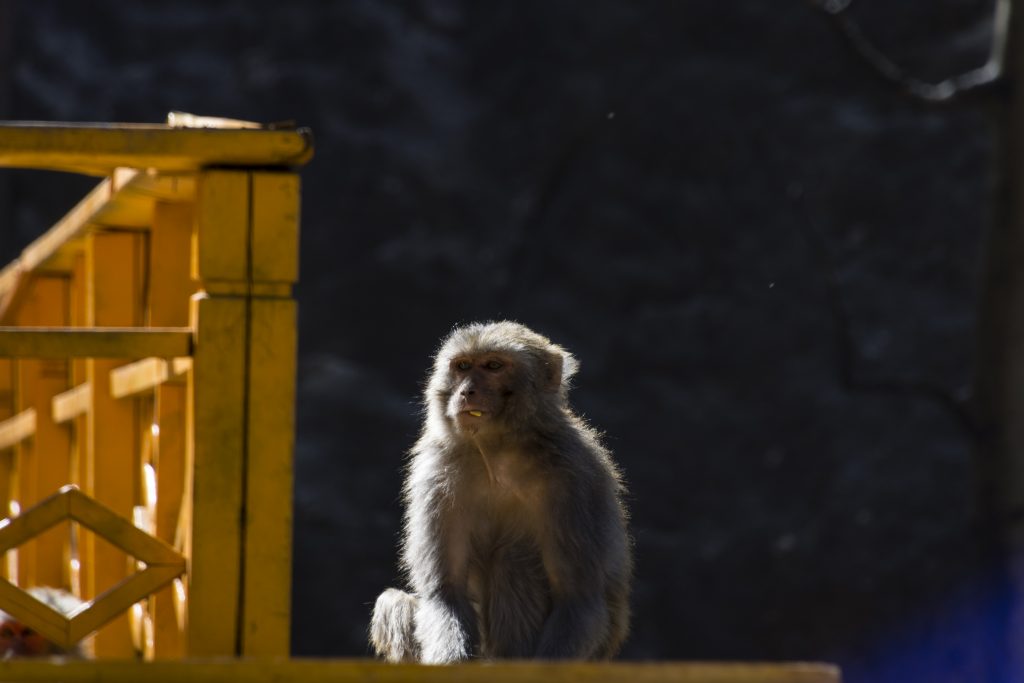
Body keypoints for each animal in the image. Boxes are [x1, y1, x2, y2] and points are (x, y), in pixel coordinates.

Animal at [368, 321, 630, 663]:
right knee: (393, 604)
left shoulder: (576, 479)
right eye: (463, 366)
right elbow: (446, 593)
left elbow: (578, 600)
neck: (500, 452)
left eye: (493, 366)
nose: (466, 391)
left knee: (513, 558)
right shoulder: (435, 474)